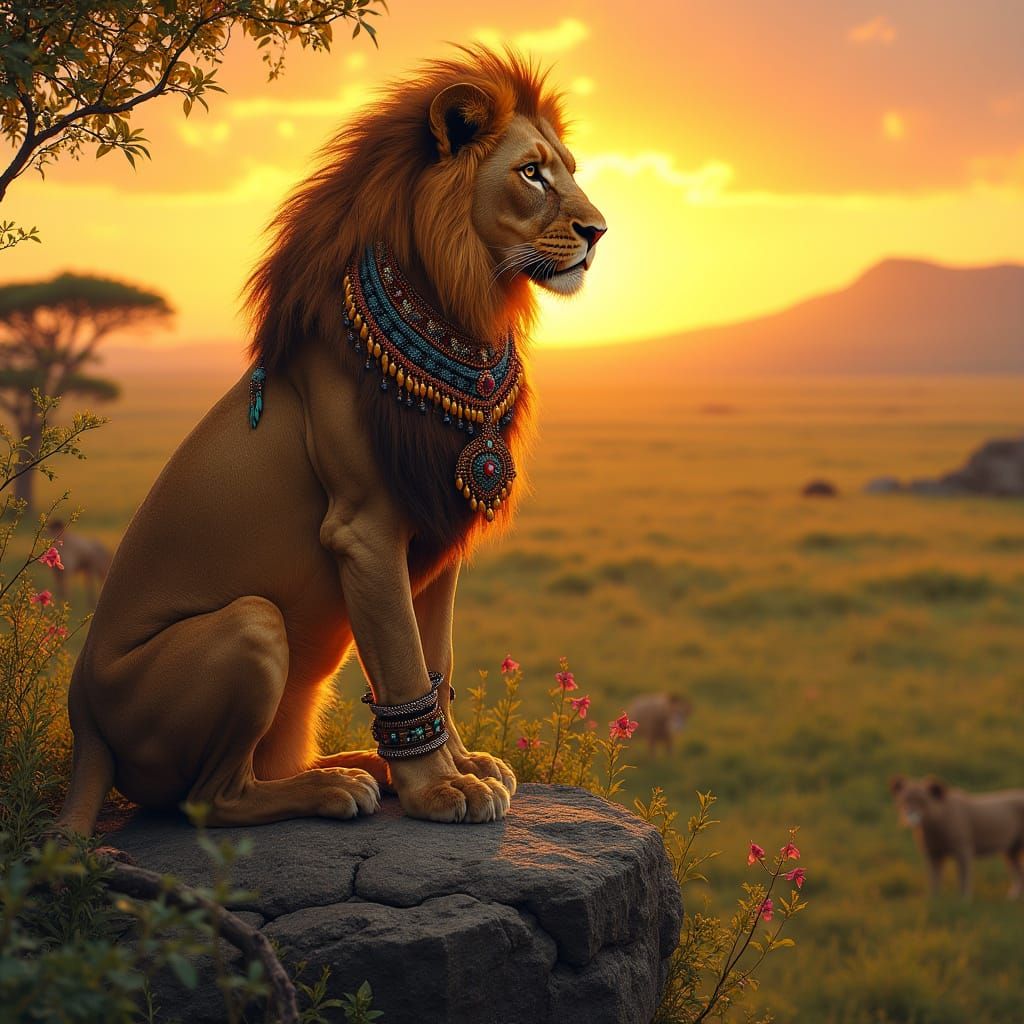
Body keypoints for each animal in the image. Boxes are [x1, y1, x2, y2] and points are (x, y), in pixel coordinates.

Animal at [56, 47, 606, 834]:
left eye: (568, 168)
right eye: (532, 173)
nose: (599, 232)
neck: (460, 309)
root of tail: (83, 722)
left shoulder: (437, 526)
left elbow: (434, 657)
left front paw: (463, 766)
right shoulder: (365, 528)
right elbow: (403, 661)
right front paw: (439, 790)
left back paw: (354, 766)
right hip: (252, 626)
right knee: (210, 799)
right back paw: (335, 788)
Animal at [889, 775, 1024, 899]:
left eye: (922, 800)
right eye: (904, 799)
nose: (910, 815)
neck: (932, 829)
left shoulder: (963, 848)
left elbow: (963, 875)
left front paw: (964, 900)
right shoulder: (932, 853)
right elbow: (934, 877)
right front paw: (935, 900)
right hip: (1011, 849)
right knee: (1017, 870)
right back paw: (1013, 897)